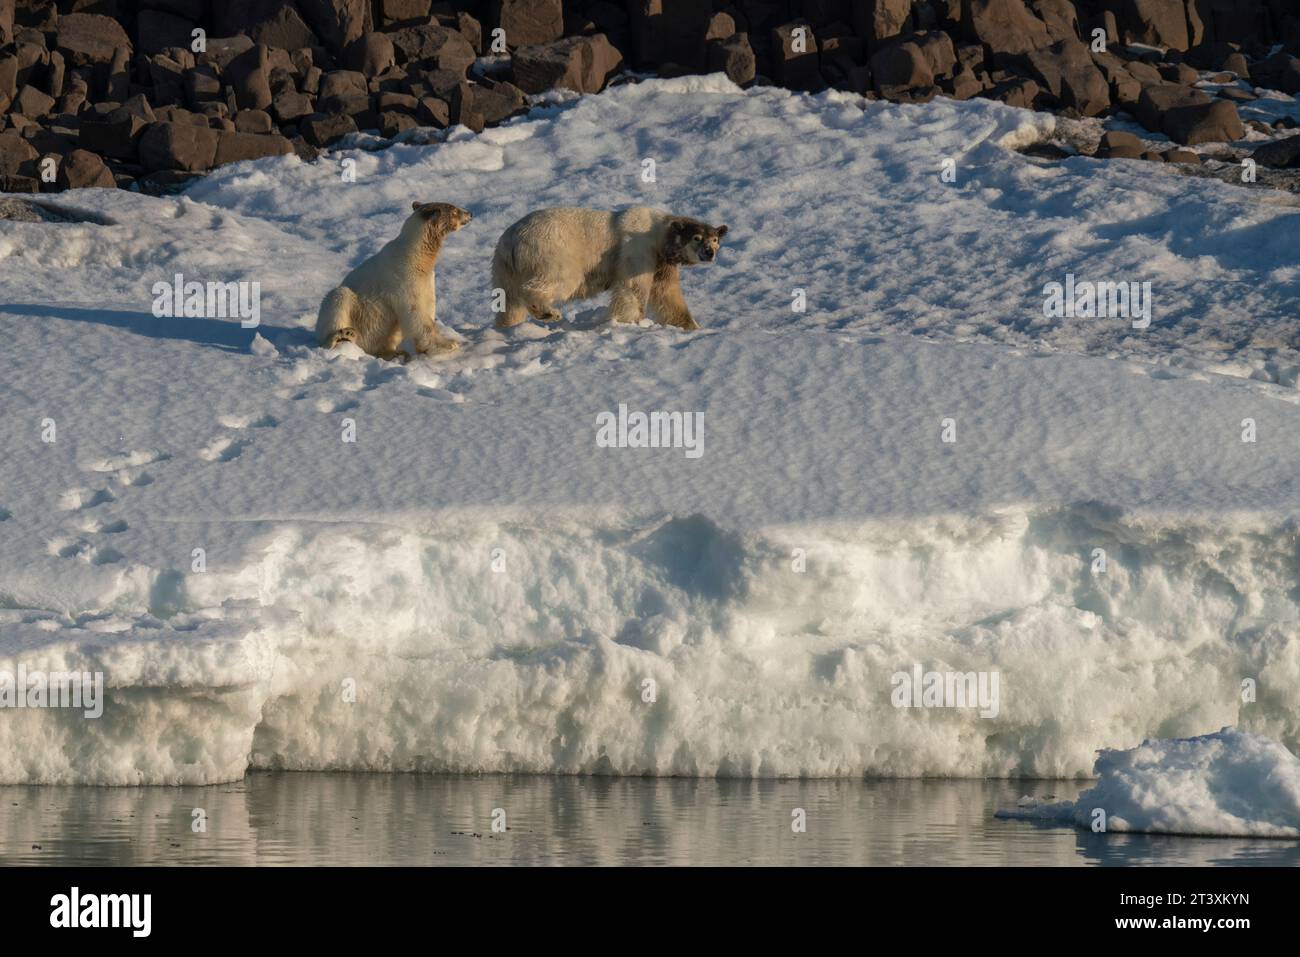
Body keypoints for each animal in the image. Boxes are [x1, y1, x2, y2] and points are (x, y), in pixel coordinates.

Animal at [315, 204, 473, 361]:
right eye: (454, 210)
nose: (470, 213)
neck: (415, 255)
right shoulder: (403, 277)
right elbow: (415, 310)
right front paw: (448, 344)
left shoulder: (426, 279)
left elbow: (427, 305)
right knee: (338, 297)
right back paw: (342, 336)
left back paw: (395, 353)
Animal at [488, 206, 728, 332]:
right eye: (697, 238)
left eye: (715, 239)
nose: (710, 253)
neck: (658, 231)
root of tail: (512, 240)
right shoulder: (638, 248)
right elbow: (632, 289)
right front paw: (629, 321)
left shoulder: (662, 263)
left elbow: (668, 297)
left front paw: (691, 325)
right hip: (552, 250)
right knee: (558, 279)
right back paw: (548, 312)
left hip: (503, 268)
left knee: (509, 302)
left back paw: (507, 327)